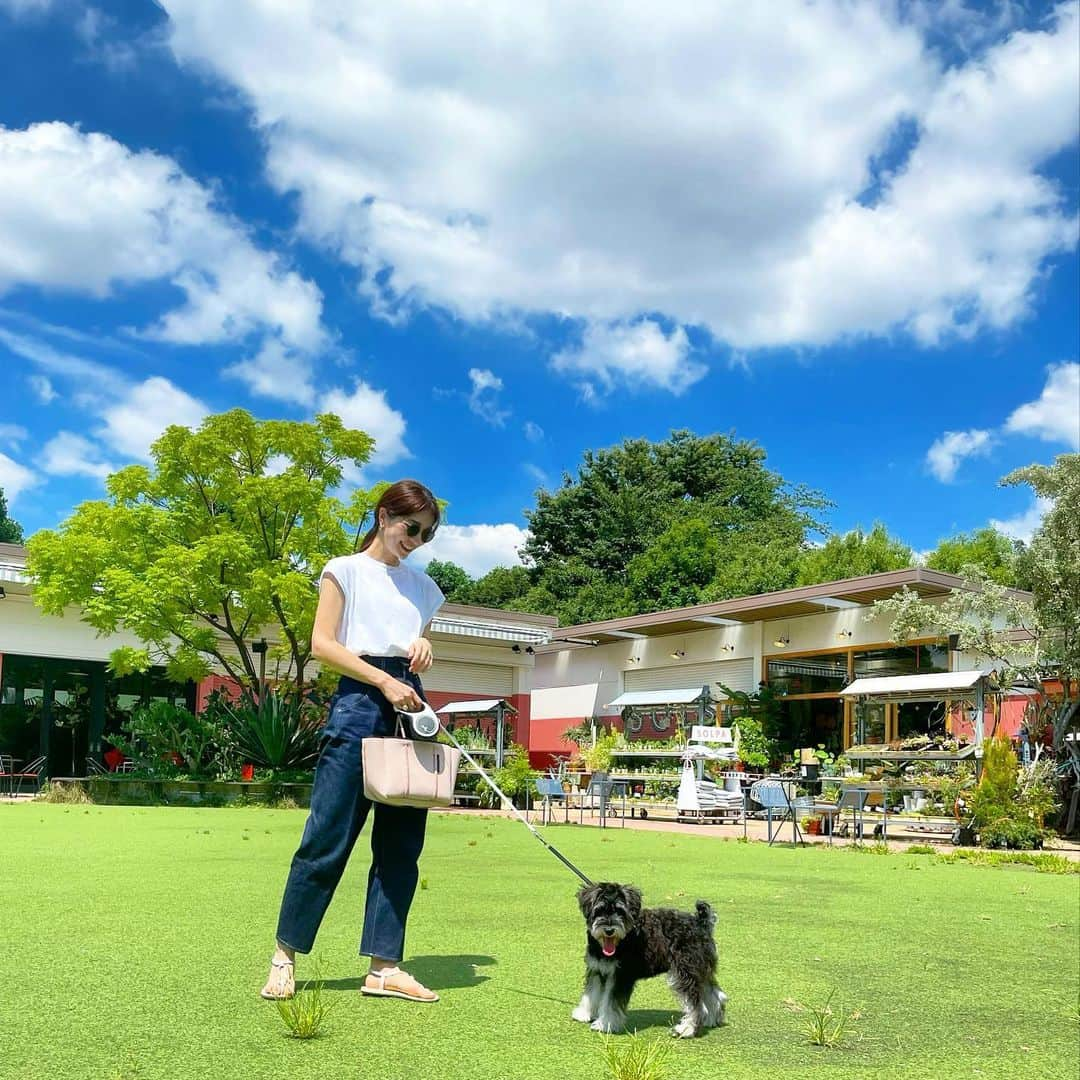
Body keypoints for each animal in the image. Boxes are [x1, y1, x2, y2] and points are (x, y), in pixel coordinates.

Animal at [570, 885, 730, 1036]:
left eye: (620, 911)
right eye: (599, 910)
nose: (609, 930)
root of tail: (701, 923)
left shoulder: (620, 976)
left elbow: (611, 1003)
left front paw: (605, 1024)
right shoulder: (596, 970)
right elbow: (591, 993)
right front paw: (583, 1014)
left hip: (686, 972)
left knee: (696, 1004)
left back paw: (686, 1029)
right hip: (700, 970)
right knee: (715, 995)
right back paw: (712, 1020)